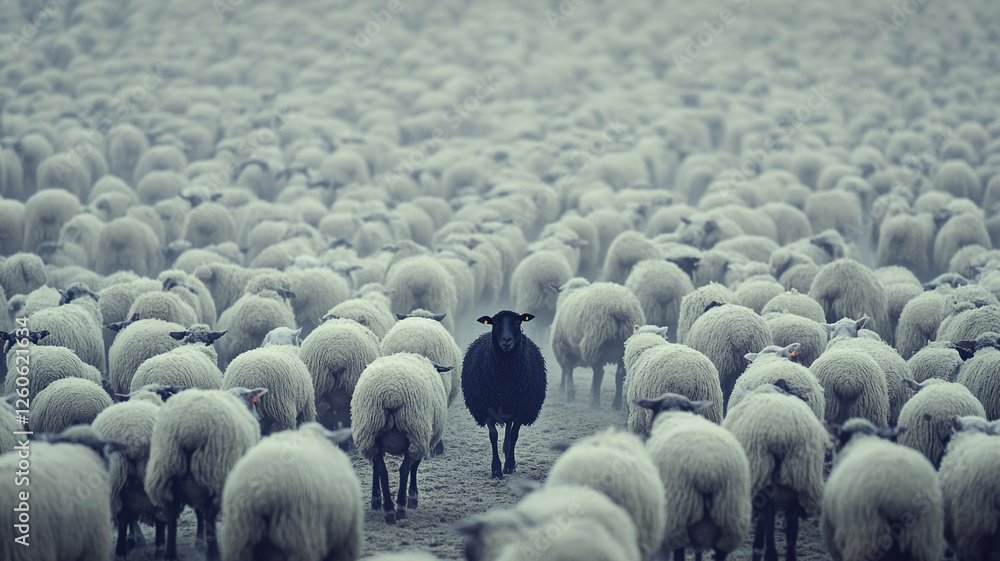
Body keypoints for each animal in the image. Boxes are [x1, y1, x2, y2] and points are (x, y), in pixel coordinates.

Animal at [145, 387, 266, 560]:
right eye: (255, 402)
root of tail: (188, 428)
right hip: (214, 471)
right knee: (209, 513)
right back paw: (213, 553)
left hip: (166, 468)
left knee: (172, 510)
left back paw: (171, 553)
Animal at [351, 352, 449, 524]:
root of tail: (391, 395)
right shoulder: (423, 439)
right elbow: (413, 468)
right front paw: (413, 498)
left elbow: (377, 468)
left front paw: (376, 500)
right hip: (415, 430)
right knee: (404, 470)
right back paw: (401, 507)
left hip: (370, 431)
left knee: (382, 470)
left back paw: (389, 510)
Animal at [550, 279, 645, 409]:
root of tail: (620, 306)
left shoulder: (563, 347)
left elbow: (568, 370)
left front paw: (570, 396)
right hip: (624, 346)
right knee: (619, 375)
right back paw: (616, 405)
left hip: (595, 342)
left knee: (599, 373)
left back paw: (594, 403)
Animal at [634, 392, 752, 561]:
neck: (674, 413)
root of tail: (709, 470)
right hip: (730, 518)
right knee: (721, 551)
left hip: (678, 515)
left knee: (679, 553)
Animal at [722, 383, 829, 561]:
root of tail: (781, 433)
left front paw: (757, 549)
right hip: (799, 479)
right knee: (791, 529)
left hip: (764, 476)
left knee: (769, 522)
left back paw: (765, 552)